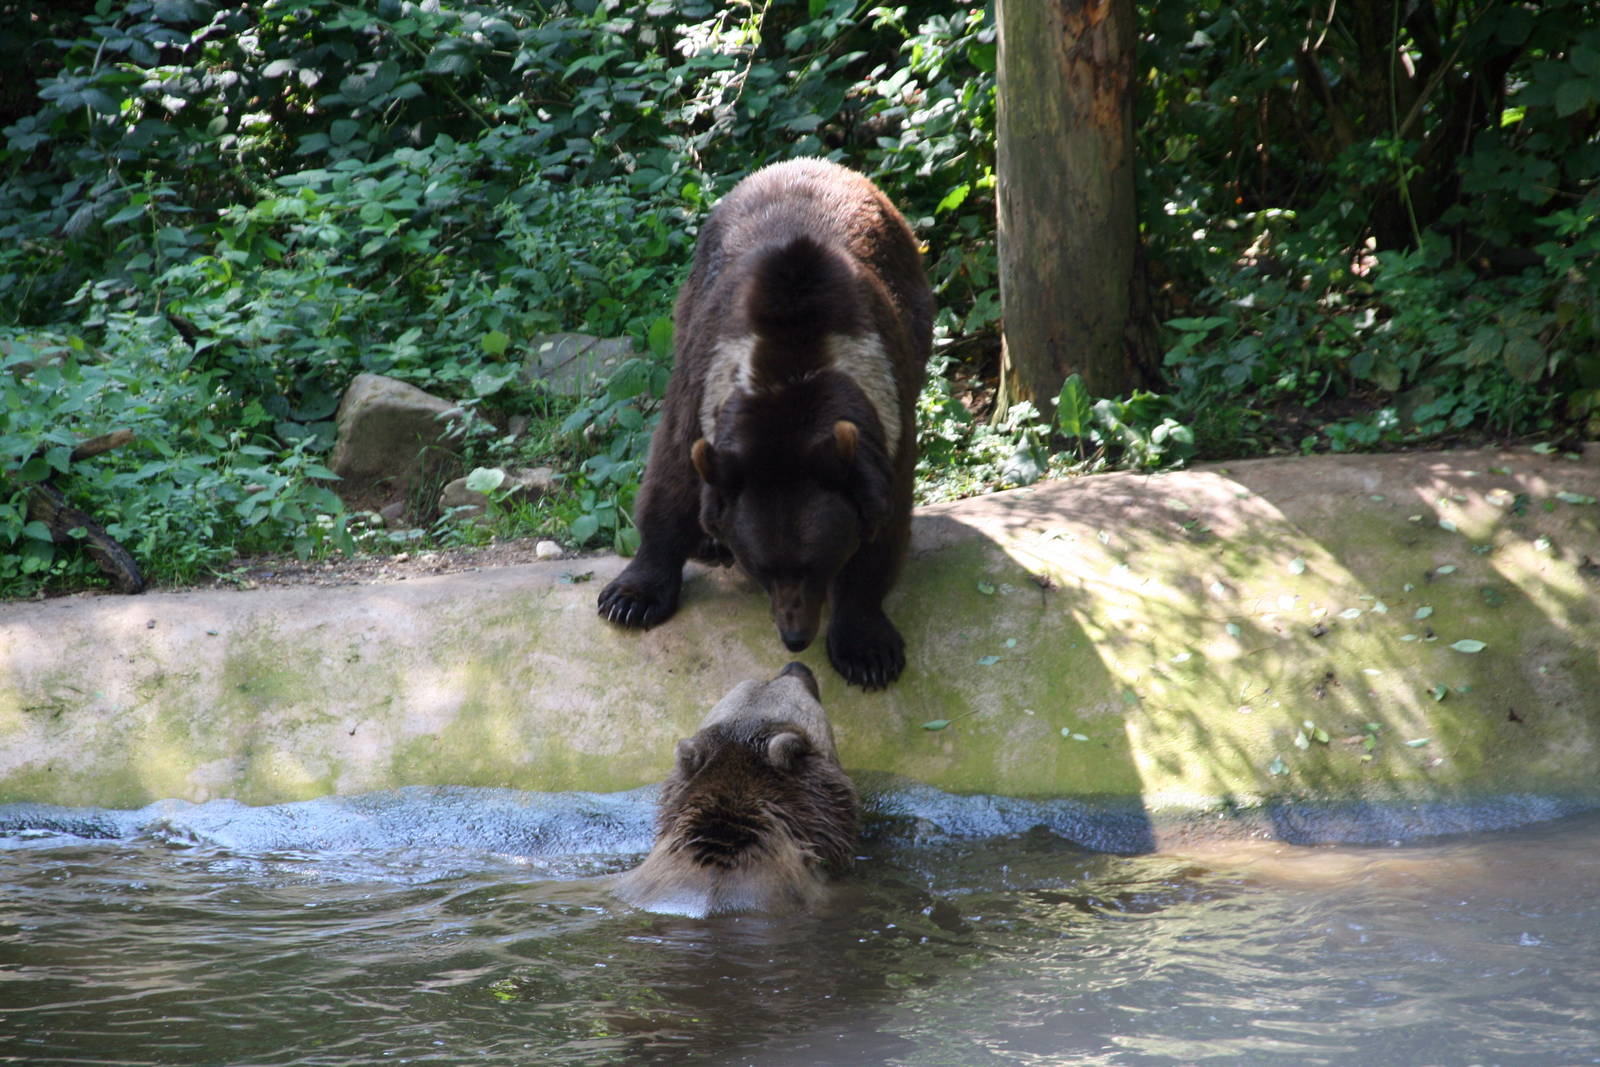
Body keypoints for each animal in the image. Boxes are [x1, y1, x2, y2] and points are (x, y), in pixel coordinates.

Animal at [596, 157, 934, 689]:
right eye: (762, 566)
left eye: (818, 563)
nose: (795, 636)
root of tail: (816, 162)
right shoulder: (700, 387)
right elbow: (671, 479)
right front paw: (631, 598)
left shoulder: (889, 422)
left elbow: (884, 528)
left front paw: (867, 649)